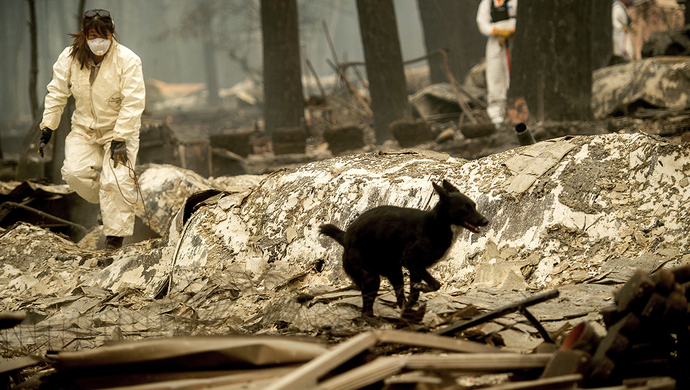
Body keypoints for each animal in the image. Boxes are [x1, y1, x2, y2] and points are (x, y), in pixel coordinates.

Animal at [320, 181, 486, 316]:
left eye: (474, 205)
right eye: (465, 209)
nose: (486, 221)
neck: (438, 224)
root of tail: (345, 236)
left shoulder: (415, 268)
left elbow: (415, 294)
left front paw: (415, 297)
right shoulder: (411, 260)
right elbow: (436, 284)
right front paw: (423, 287)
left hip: (394, 271)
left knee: (398, 299)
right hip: (371, 278)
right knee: (366, 310)